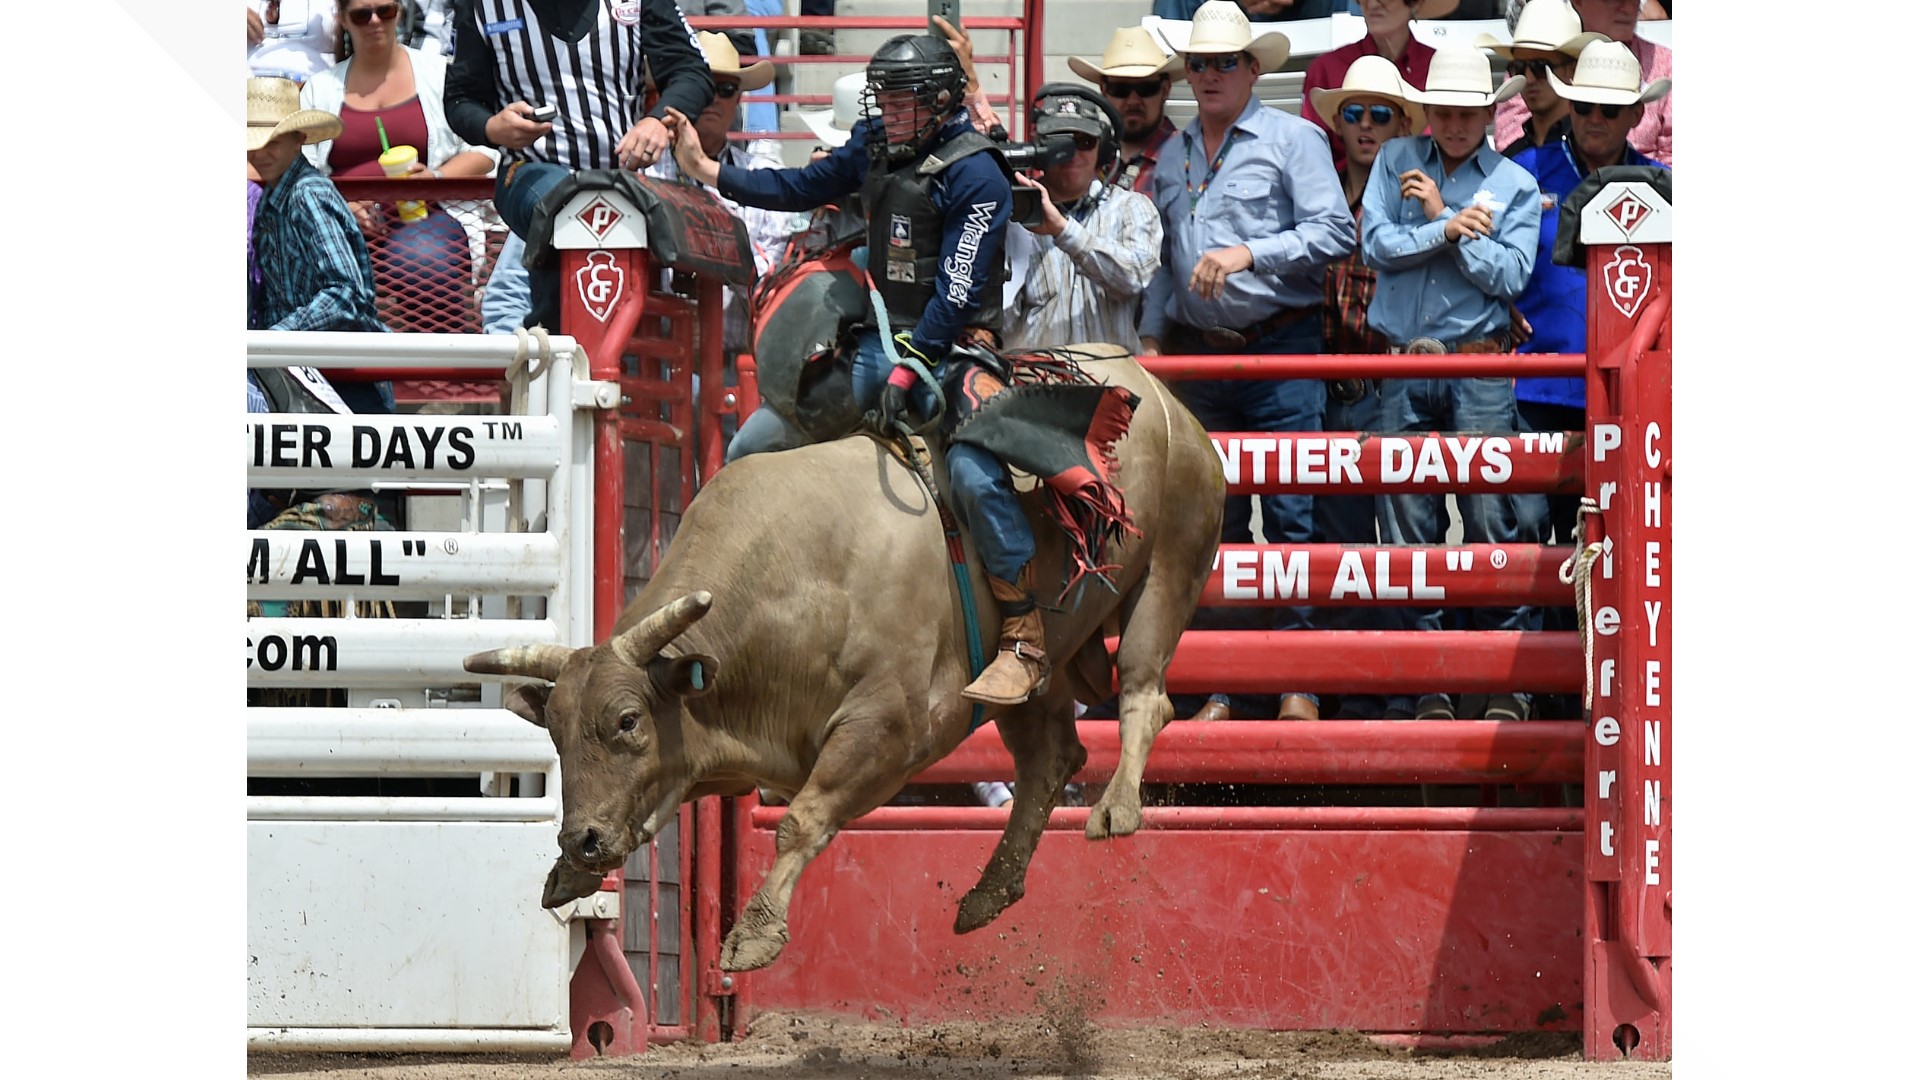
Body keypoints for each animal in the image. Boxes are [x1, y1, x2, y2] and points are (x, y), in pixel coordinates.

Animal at [460, 349, 1228, 972]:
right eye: (556, 731)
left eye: (627, 721)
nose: (583, 838)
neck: (799, 585)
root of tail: (1165, 401)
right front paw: (570, 874)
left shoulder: (888, 728)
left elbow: (803, 819)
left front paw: (754, 936)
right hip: (1032, 673)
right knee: (1050, 756)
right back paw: (989, 891)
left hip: (1171, 565)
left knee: (1145, 693)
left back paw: (1116, 809)